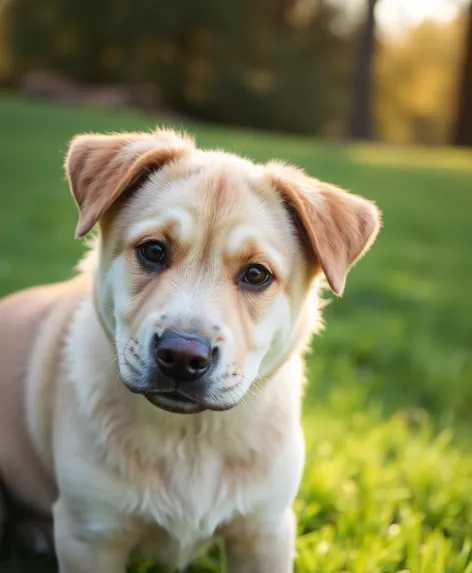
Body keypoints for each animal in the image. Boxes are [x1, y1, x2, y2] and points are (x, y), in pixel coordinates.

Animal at [0, 127, 380, 568]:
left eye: (256, 274)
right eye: (153, 250)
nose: (182, 356)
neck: (192, 436)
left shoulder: (265, 530)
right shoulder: (91, 533)